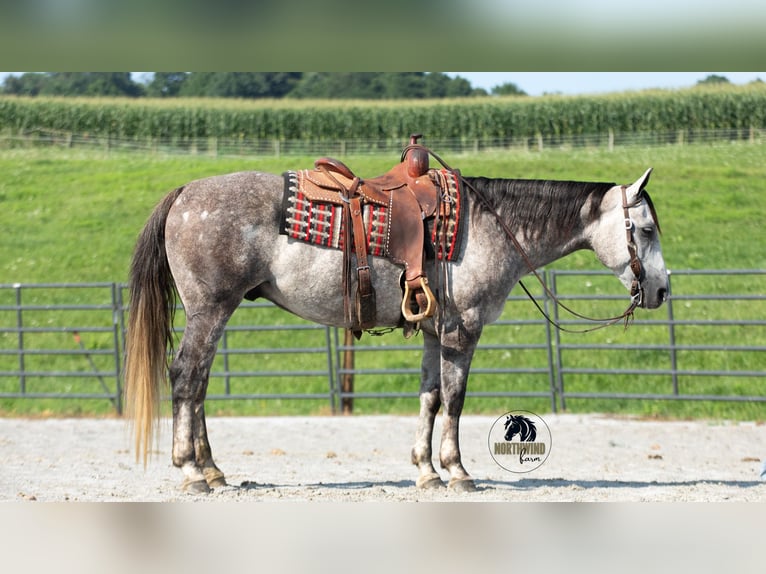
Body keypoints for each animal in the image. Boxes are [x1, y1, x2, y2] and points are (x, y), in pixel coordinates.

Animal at [124, 162, 668, 493]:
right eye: (645, 230)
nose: (661, 290)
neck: (491, 225)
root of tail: (184, 193)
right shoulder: (462, 332)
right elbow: (454, 400)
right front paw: (457, 471)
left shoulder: (433, 332)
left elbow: (429, 397)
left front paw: (426, 471)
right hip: (210, 310)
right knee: (186, 378)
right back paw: (191, 472)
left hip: (215, 313)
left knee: (199, 386)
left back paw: (213, 469)